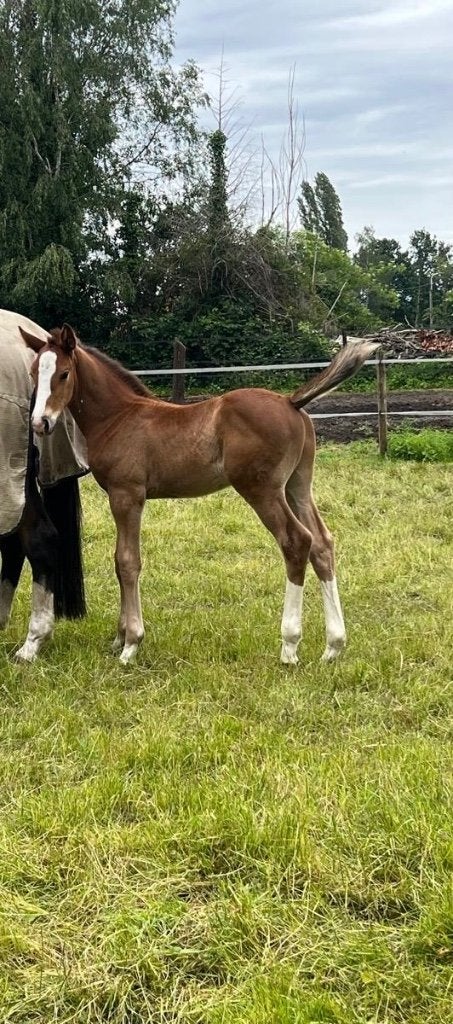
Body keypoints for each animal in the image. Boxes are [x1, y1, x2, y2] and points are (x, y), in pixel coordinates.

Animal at [19, 322, 377, 666]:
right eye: (34, 372)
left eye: (64, 373)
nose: (40, 423)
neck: (118, 417)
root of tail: (290, 401)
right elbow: (120, 560)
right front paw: (119, 638)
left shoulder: (127, 495)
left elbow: (127, 562)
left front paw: (131, 644)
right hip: (297, 486)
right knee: (322, 543)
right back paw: (333, 646)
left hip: (262, 490)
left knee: (296, 541)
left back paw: (289, 646)